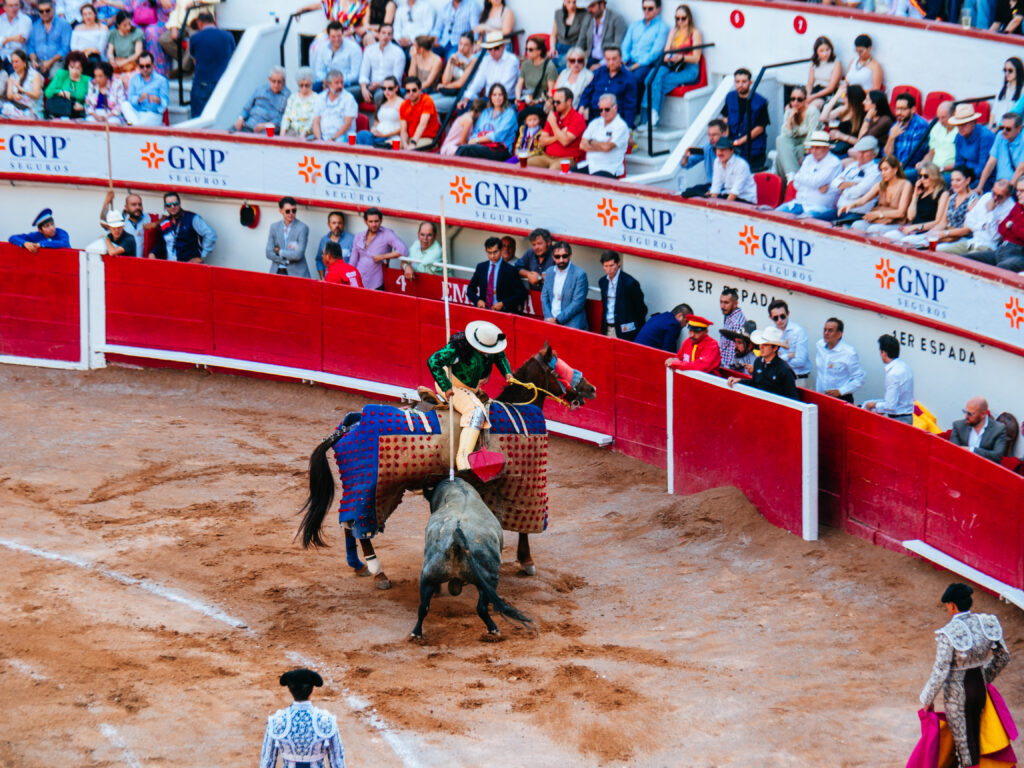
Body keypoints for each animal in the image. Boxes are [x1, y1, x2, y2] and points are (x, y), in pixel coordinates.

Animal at [296, 342, 598, 589]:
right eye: (560, 368)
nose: (591, 388)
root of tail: (347, 428)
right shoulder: (521, 483)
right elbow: (524, 525)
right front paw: (526, 561)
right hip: (371, 490)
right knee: (361, 528)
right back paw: (378, 571)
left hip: (356, 487)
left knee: (347, 522)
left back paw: (358, 566)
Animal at [409, 481, 532, 643]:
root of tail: (457, 535)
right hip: (488, 579)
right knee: (481, 608)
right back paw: (494, 630)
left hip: (429, 575)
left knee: (423, 606)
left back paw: (416, 634)